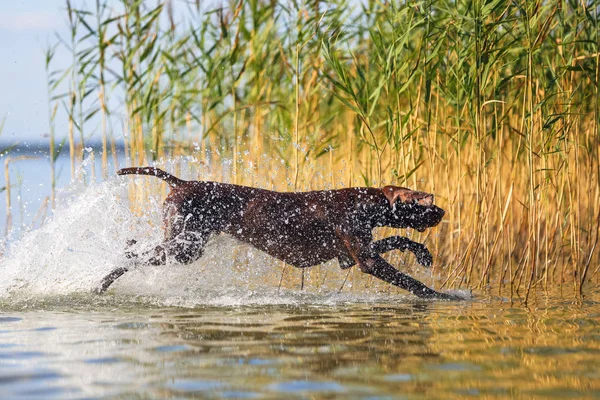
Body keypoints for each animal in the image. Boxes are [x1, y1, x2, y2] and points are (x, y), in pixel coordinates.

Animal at [96, 166, 458, 300]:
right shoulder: (365, 258)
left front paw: (422, 253)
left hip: (183, 246)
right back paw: (104, 277)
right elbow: (412, 282)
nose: (443, 212)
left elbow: (399, 239)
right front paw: (443, 297)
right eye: (424, 201)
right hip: (185, 248)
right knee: (132, 256)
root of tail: (180, 182)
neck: (365, 202)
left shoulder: (348, 256)